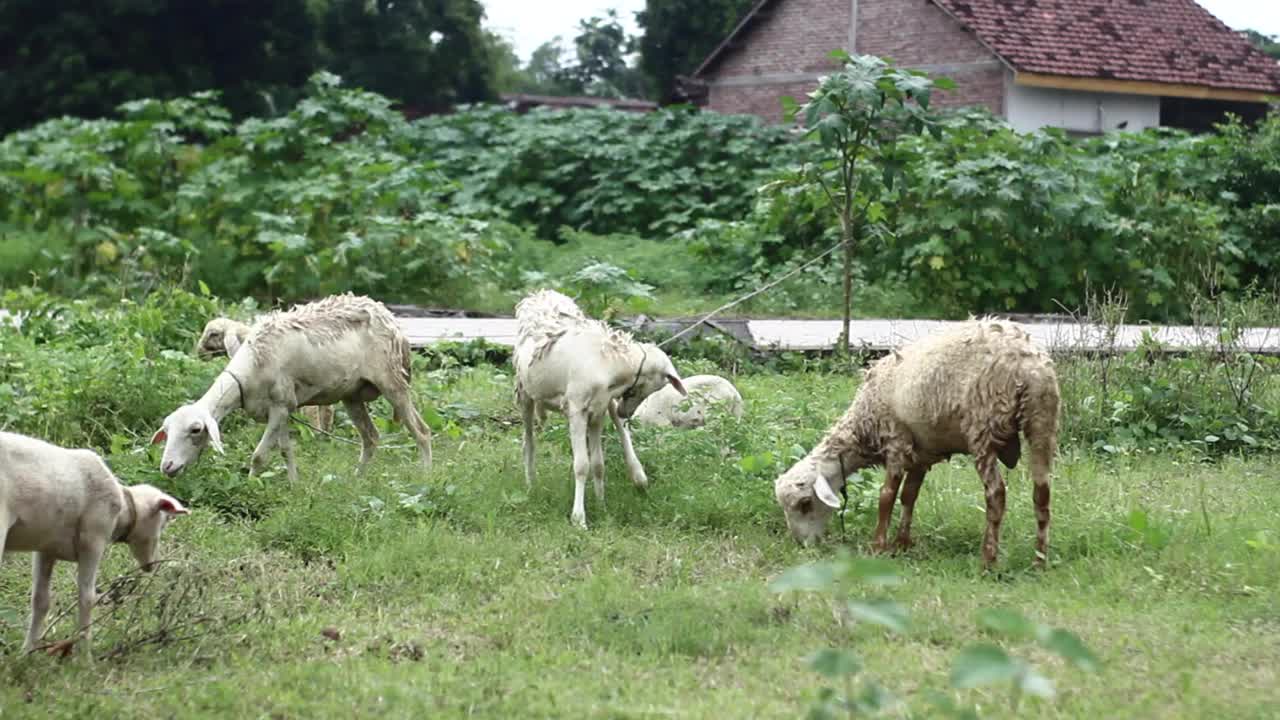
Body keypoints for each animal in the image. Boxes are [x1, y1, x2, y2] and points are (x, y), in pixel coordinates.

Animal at [1, 427, 189, 653]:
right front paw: (84, 651)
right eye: (163, 523)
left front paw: (28, 651)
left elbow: (40, 600)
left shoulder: (46, 547)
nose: (151, 565)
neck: (124, 511)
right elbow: (87, 597)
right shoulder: (93, 541)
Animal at [512, 286, 686, 527]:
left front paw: (601, 504)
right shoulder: (576, 408)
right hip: (524, 393)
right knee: (528, 443)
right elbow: (581, 465)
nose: (625, 412)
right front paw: (579, 519)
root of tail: (540, 294)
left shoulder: (598, 410)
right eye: (651, 386)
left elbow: (598, 463)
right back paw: (531, 486)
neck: (612, 364)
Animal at [768, 317, 1059, 566]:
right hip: (1042, 422)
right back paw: (1039, 561)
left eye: (805, 503)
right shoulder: (922, 452)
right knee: (1042, 493)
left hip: (983, 426)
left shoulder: (895, 439)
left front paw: (878, 546)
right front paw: (902, 544)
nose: (803, 545)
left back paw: (988, 560)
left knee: (996, 494)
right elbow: (909, 495)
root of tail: (1027, 365)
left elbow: (886, 496)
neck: (862, 428)